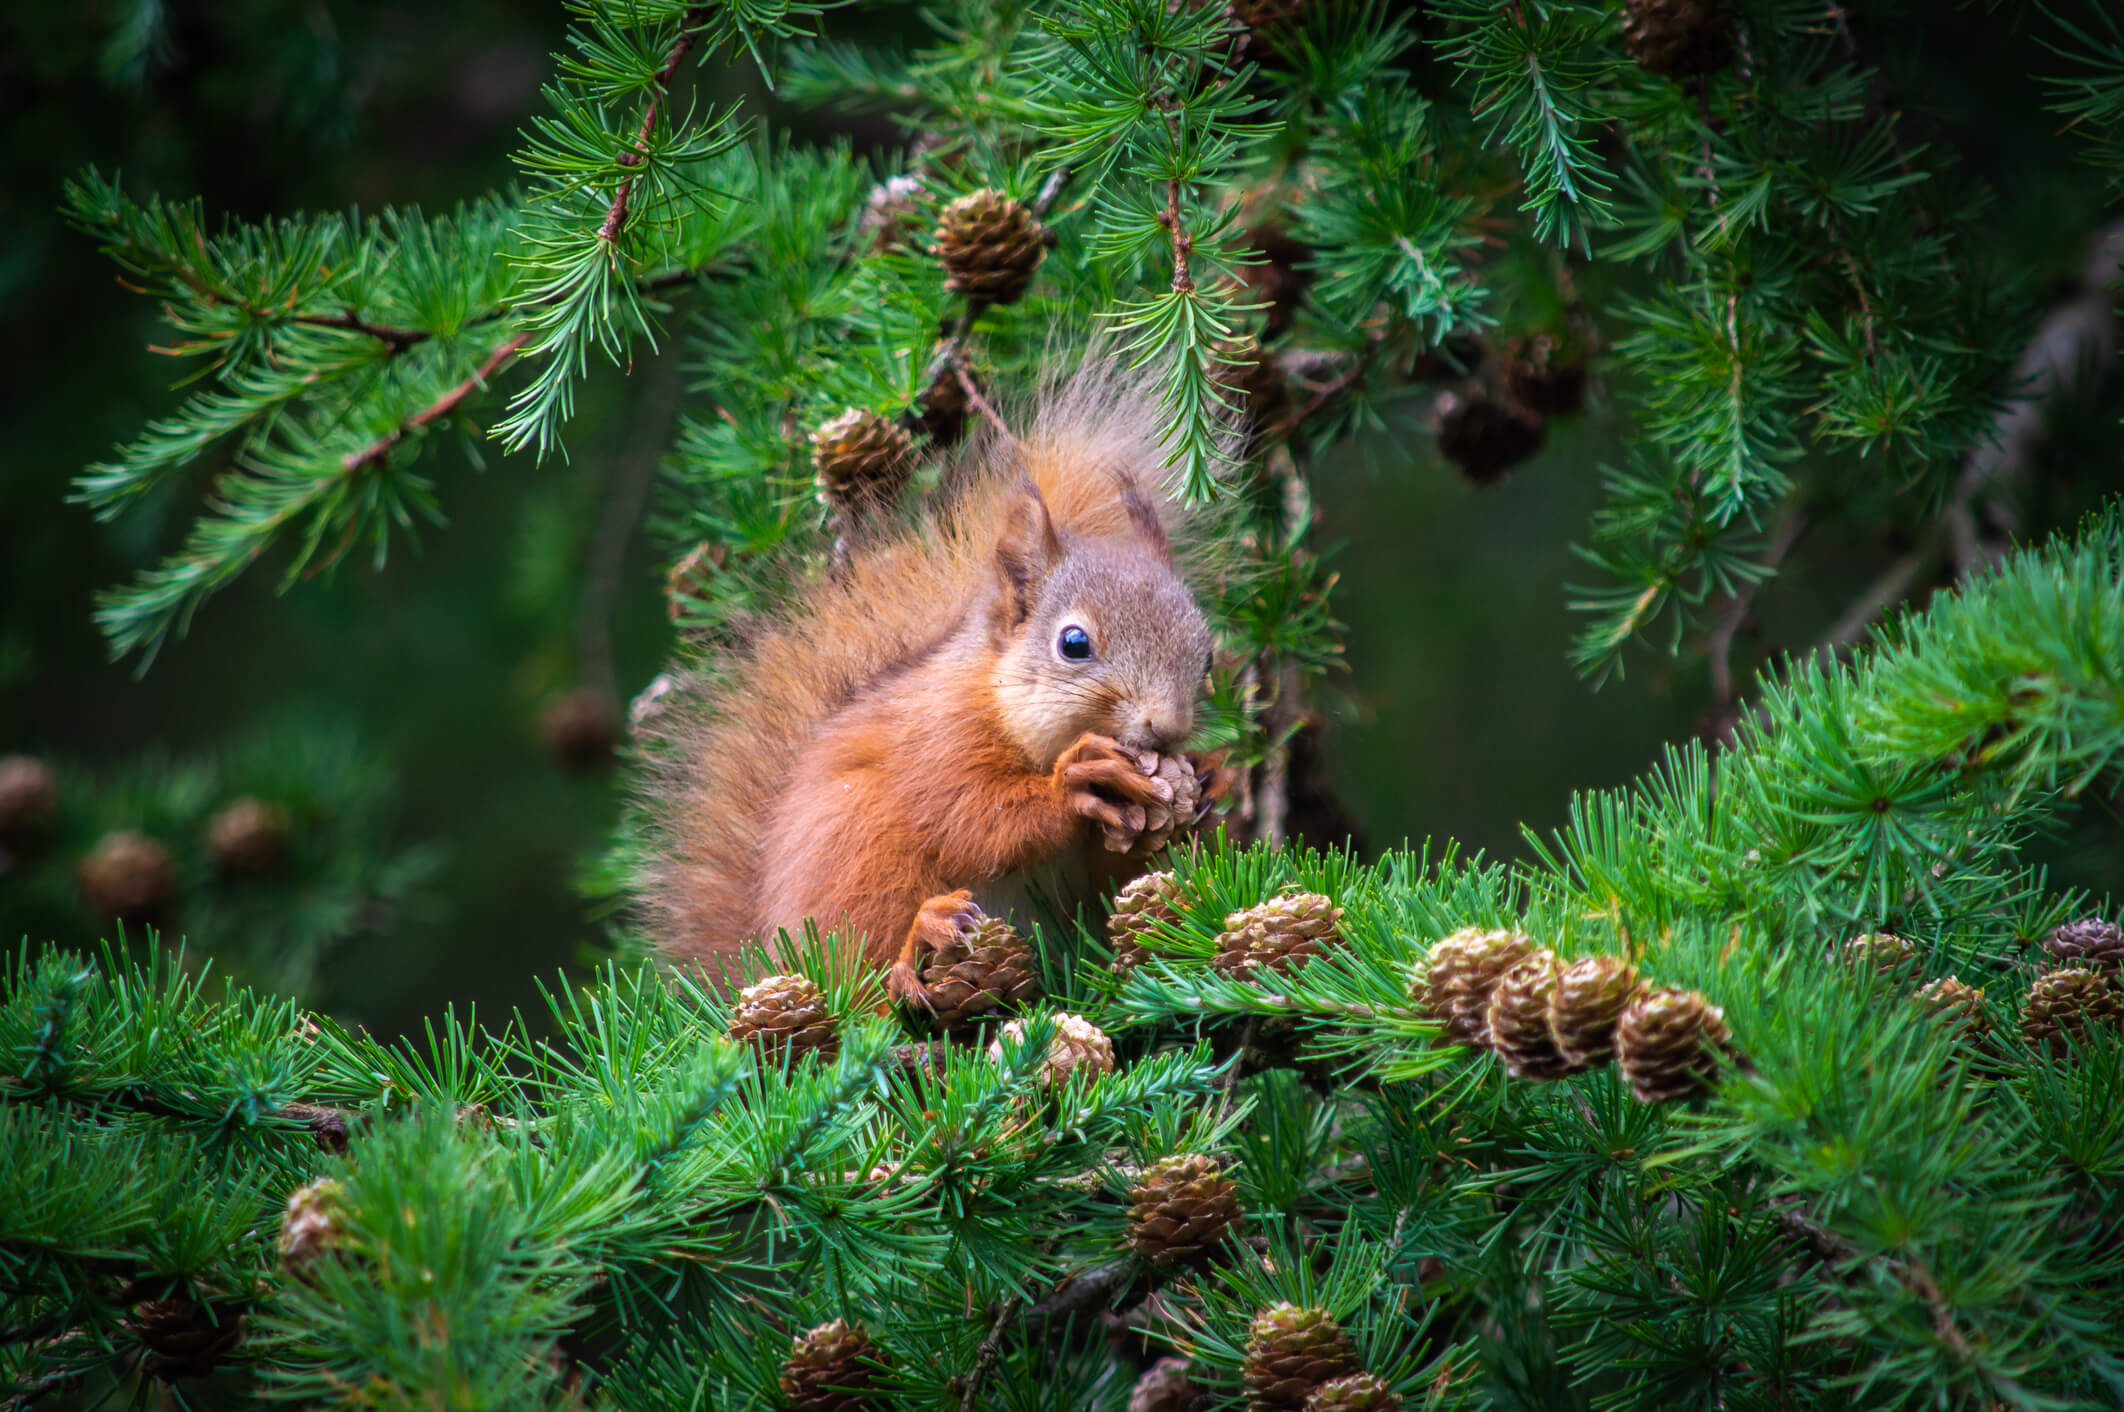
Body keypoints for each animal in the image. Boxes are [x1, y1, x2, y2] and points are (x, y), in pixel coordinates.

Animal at [637, 363, 1223, 1002]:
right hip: (858, 859)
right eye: (1074, 644)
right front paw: (1077, 782)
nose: (1168, 729)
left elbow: (1103, 879)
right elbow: (971, 821)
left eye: (1208, 655)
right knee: (865, 972)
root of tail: (773, 953)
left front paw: (1195, 791)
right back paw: (921, 938)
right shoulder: (938, 741)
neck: (999, 695)